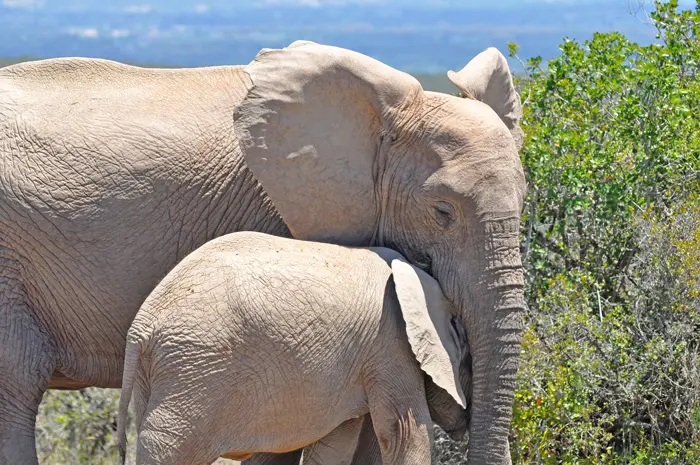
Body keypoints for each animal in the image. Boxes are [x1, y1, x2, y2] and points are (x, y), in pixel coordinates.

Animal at [117, 232, 474, 464]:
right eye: (467, 356)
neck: (416, 278)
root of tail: (142, 325)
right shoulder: (391, 343)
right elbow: (405, 433)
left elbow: (335, 444)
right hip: (194, 371)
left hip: (163, 374)